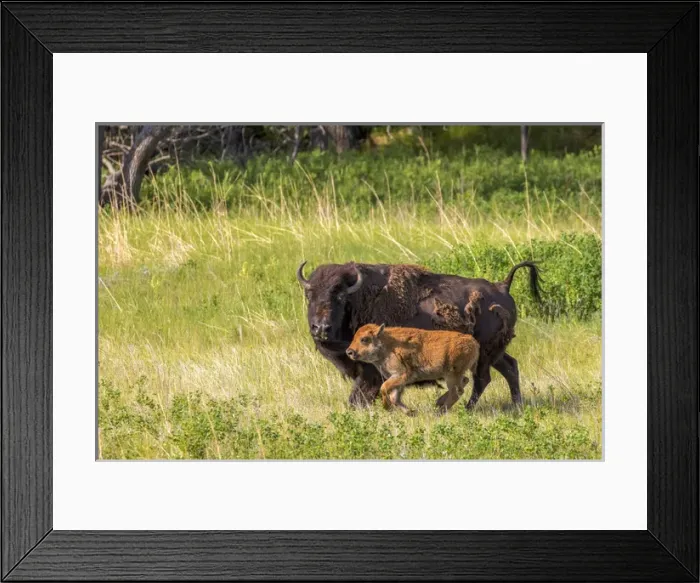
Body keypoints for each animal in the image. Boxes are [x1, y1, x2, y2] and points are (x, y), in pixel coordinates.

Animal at [296, 260, 541, 410]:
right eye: (310, 294)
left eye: (339, 297)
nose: (321, 328)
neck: (358, 300)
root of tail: (503, 286)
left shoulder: (370, 372)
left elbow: (359, 395)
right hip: (495, 352)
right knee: (510, 368)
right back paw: (516, 405)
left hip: (485, 354)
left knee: (483, 378)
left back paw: (461, 408)